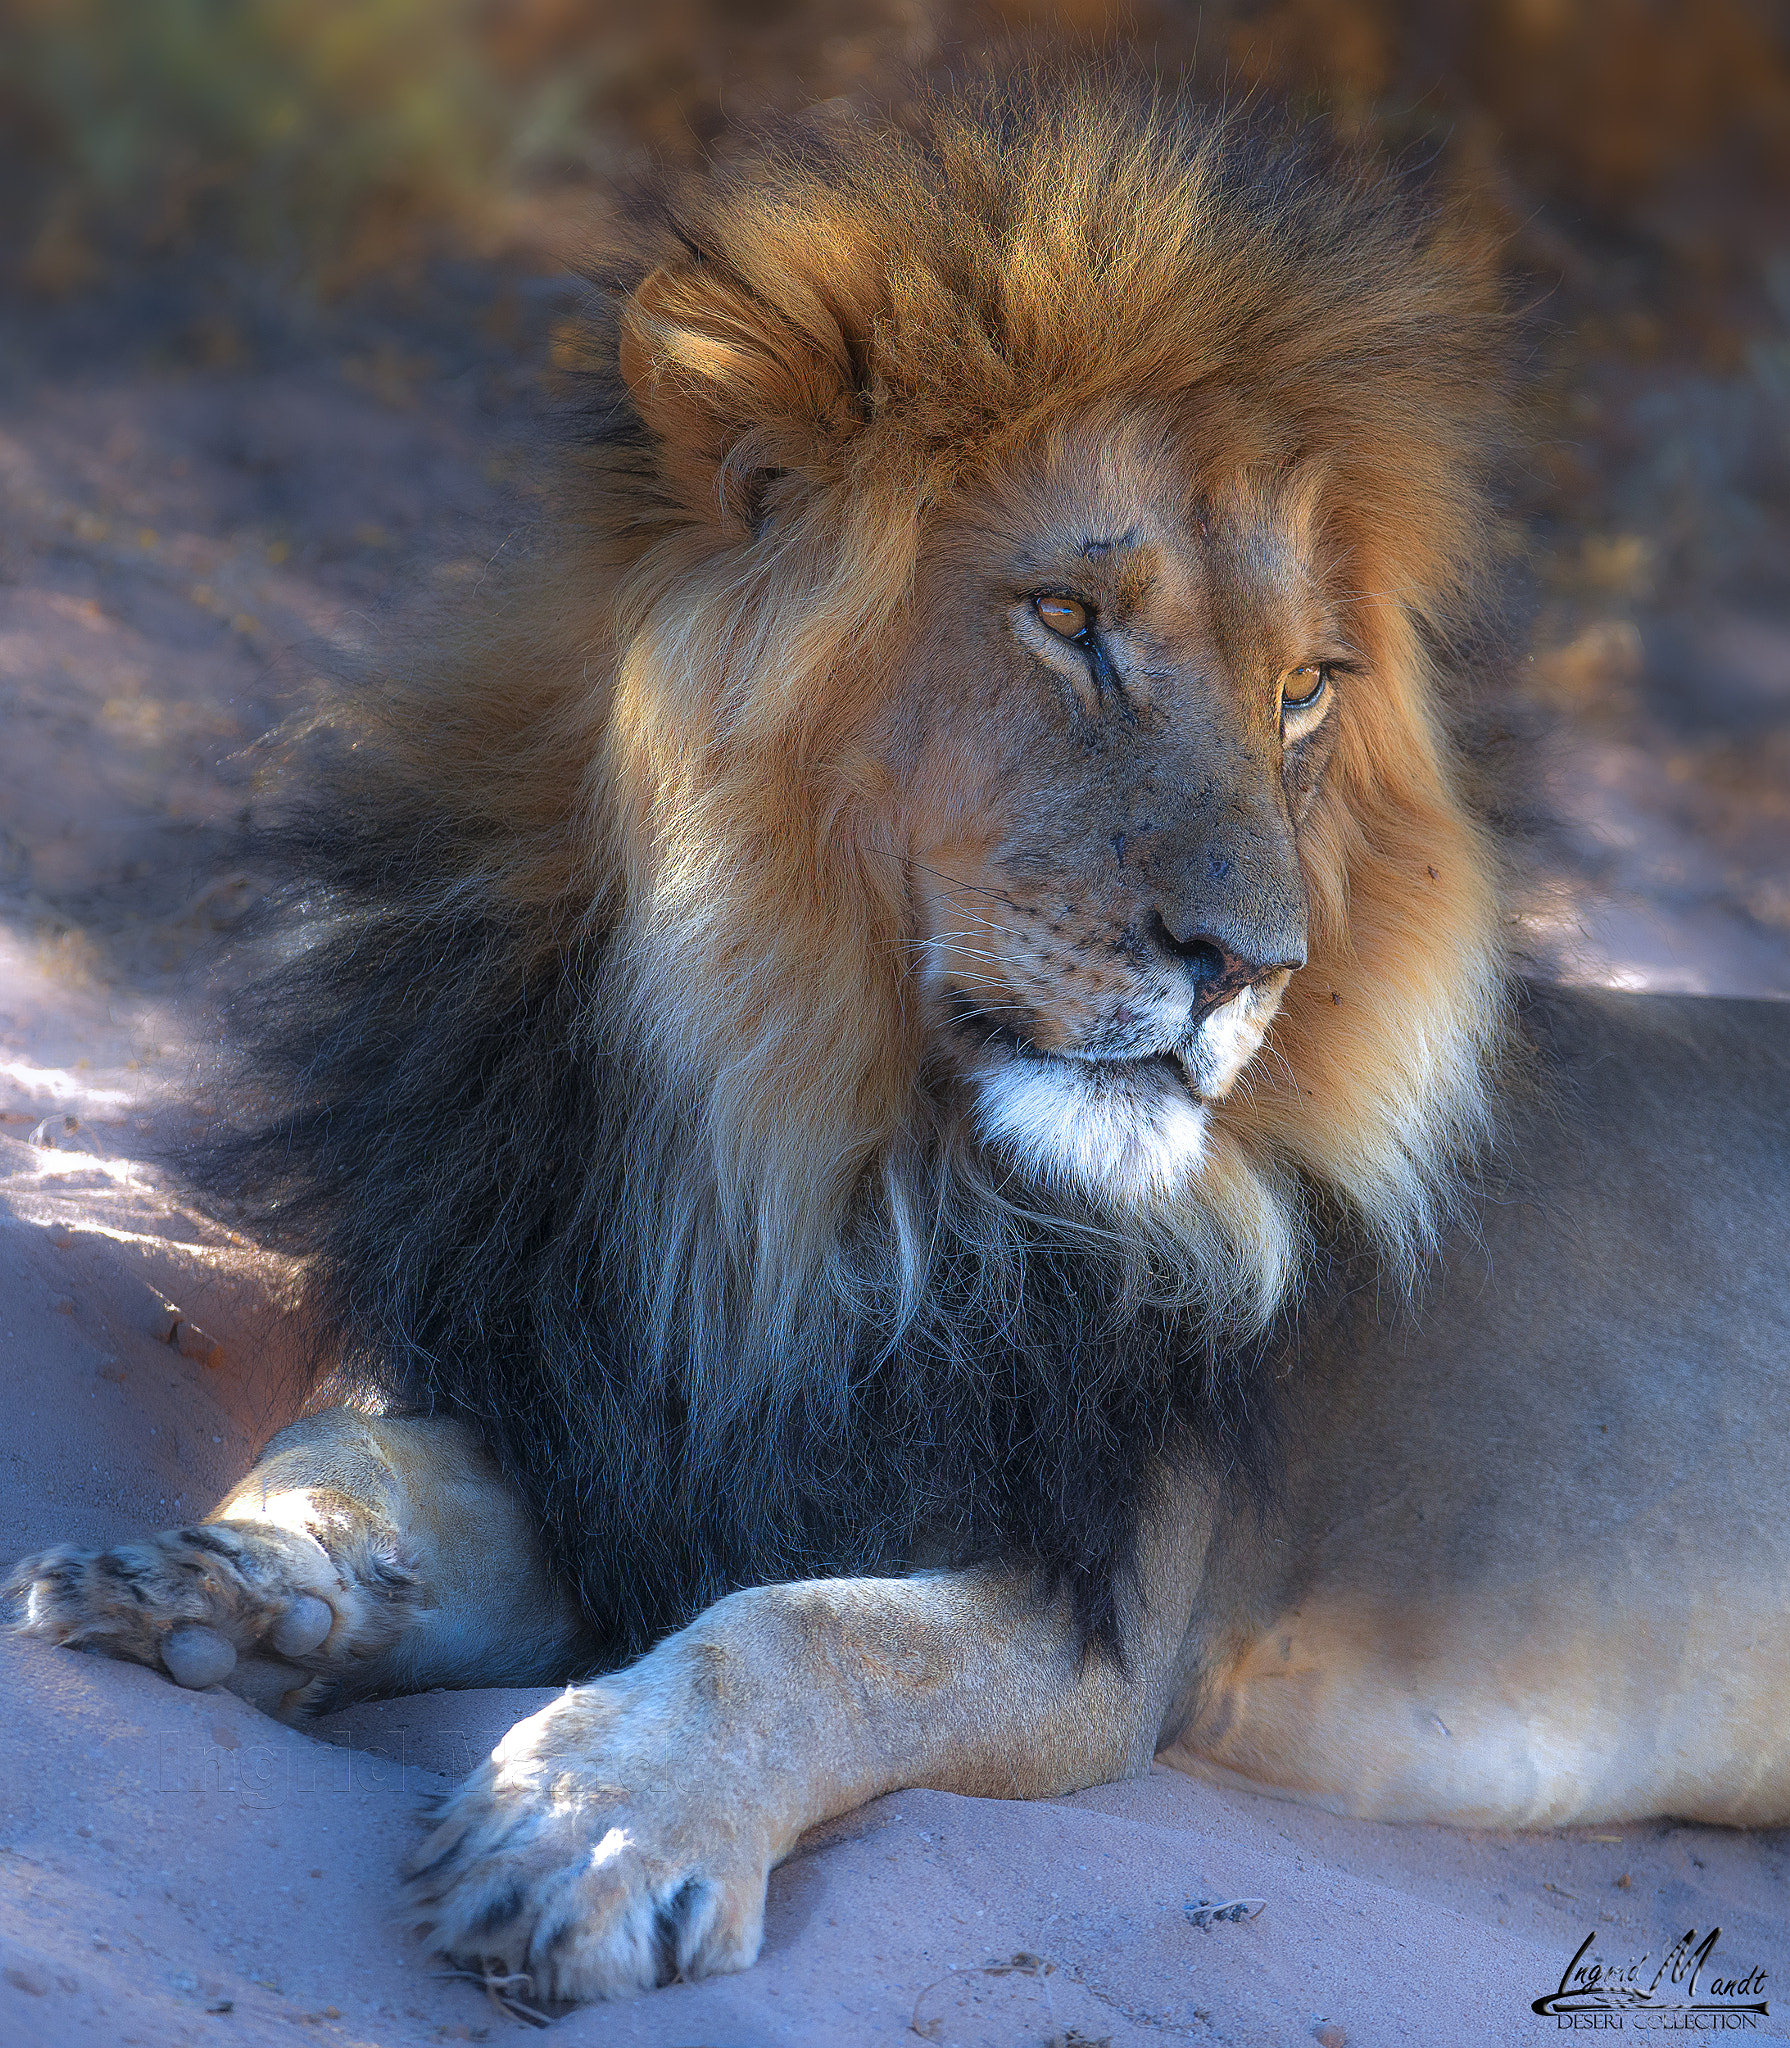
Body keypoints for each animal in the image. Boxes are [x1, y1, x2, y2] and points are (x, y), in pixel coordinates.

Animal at [9, 71, 1789, 2006]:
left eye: (1305, 690)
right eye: (1070, 621)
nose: (1252, 966)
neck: (809, 1151)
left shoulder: (1097, 1618)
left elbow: (794, 1637)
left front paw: (586, 1833)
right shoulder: (607, 1422)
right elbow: (346, 1458)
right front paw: (220, 1585)